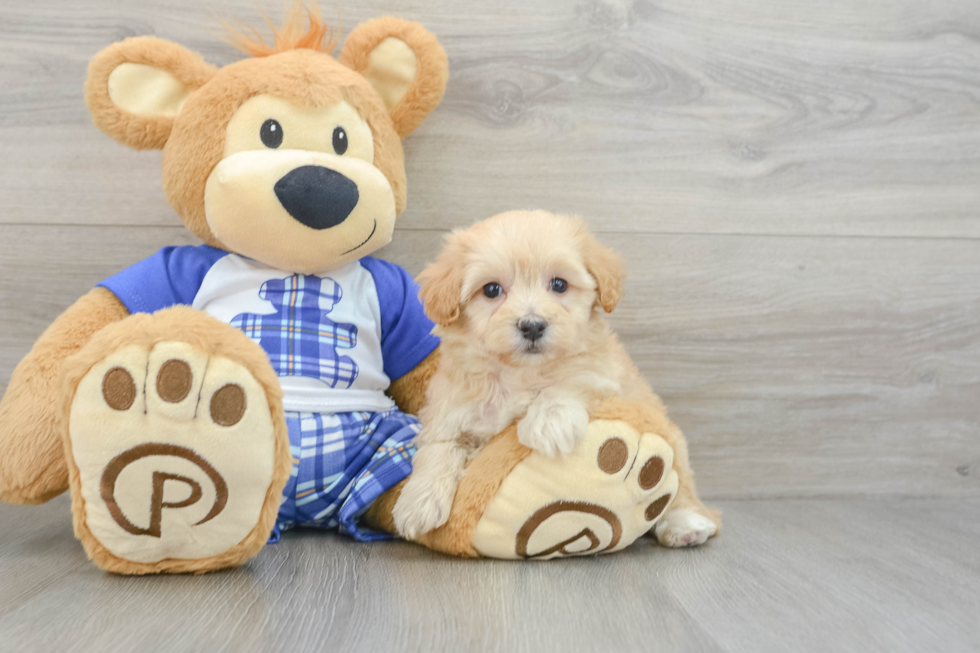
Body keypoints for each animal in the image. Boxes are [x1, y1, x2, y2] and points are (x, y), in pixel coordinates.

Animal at [390, 210, 720, 544]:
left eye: (559, 284)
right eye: (492, 290)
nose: (533, 325)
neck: (519, 373)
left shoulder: (605, 375)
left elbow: (572, 378)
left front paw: (547, 424)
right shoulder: (451, 408)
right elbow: (439, 447)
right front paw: (418, 503)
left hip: (673, 442)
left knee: (680, 488)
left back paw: (686, 524)